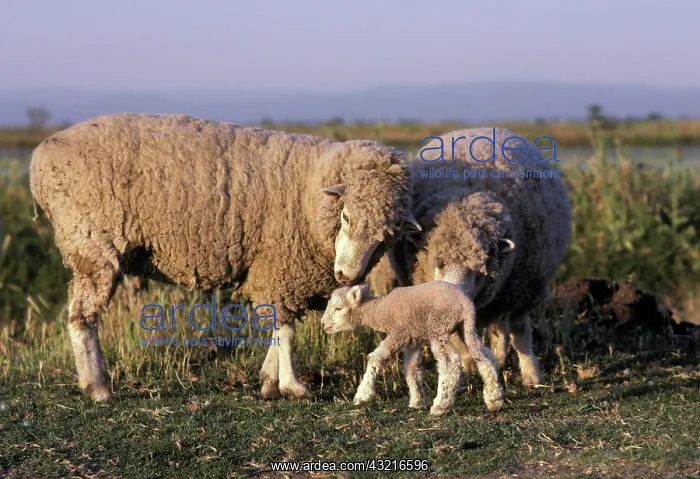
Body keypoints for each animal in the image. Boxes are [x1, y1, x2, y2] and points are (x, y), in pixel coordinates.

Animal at [29, 113, 422, 402]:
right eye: (346, 217)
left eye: (386, 236)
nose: (345, 276)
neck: (308, 191)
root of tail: (38, 157)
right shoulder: (281, 266)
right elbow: (285, 329)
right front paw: (292, 385)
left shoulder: (277, 271)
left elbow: (280, 326)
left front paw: (269, 380)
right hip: (91, 243)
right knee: (82, 317)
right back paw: (97, 386)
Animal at [321, 281, 504, 415]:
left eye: (338, 308)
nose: (323, 324)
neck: (379, 310)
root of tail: (465, 303)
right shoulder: (413, 340)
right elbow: (411, 369)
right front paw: (417, 401)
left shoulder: (398, 333)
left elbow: (377, 357)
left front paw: (362, 396)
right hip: (465, 327)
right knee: (484, 355)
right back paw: (494, 399)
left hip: (439, 326)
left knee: (450, 362)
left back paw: (441, 406)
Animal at [389, 127, 572, 387]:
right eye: (438, 264)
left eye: (478, 268)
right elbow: (458, 338)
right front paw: (470, 364)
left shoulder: (523, 293)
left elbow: (521, 334)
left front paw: (531, 374)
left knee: (501, 326)